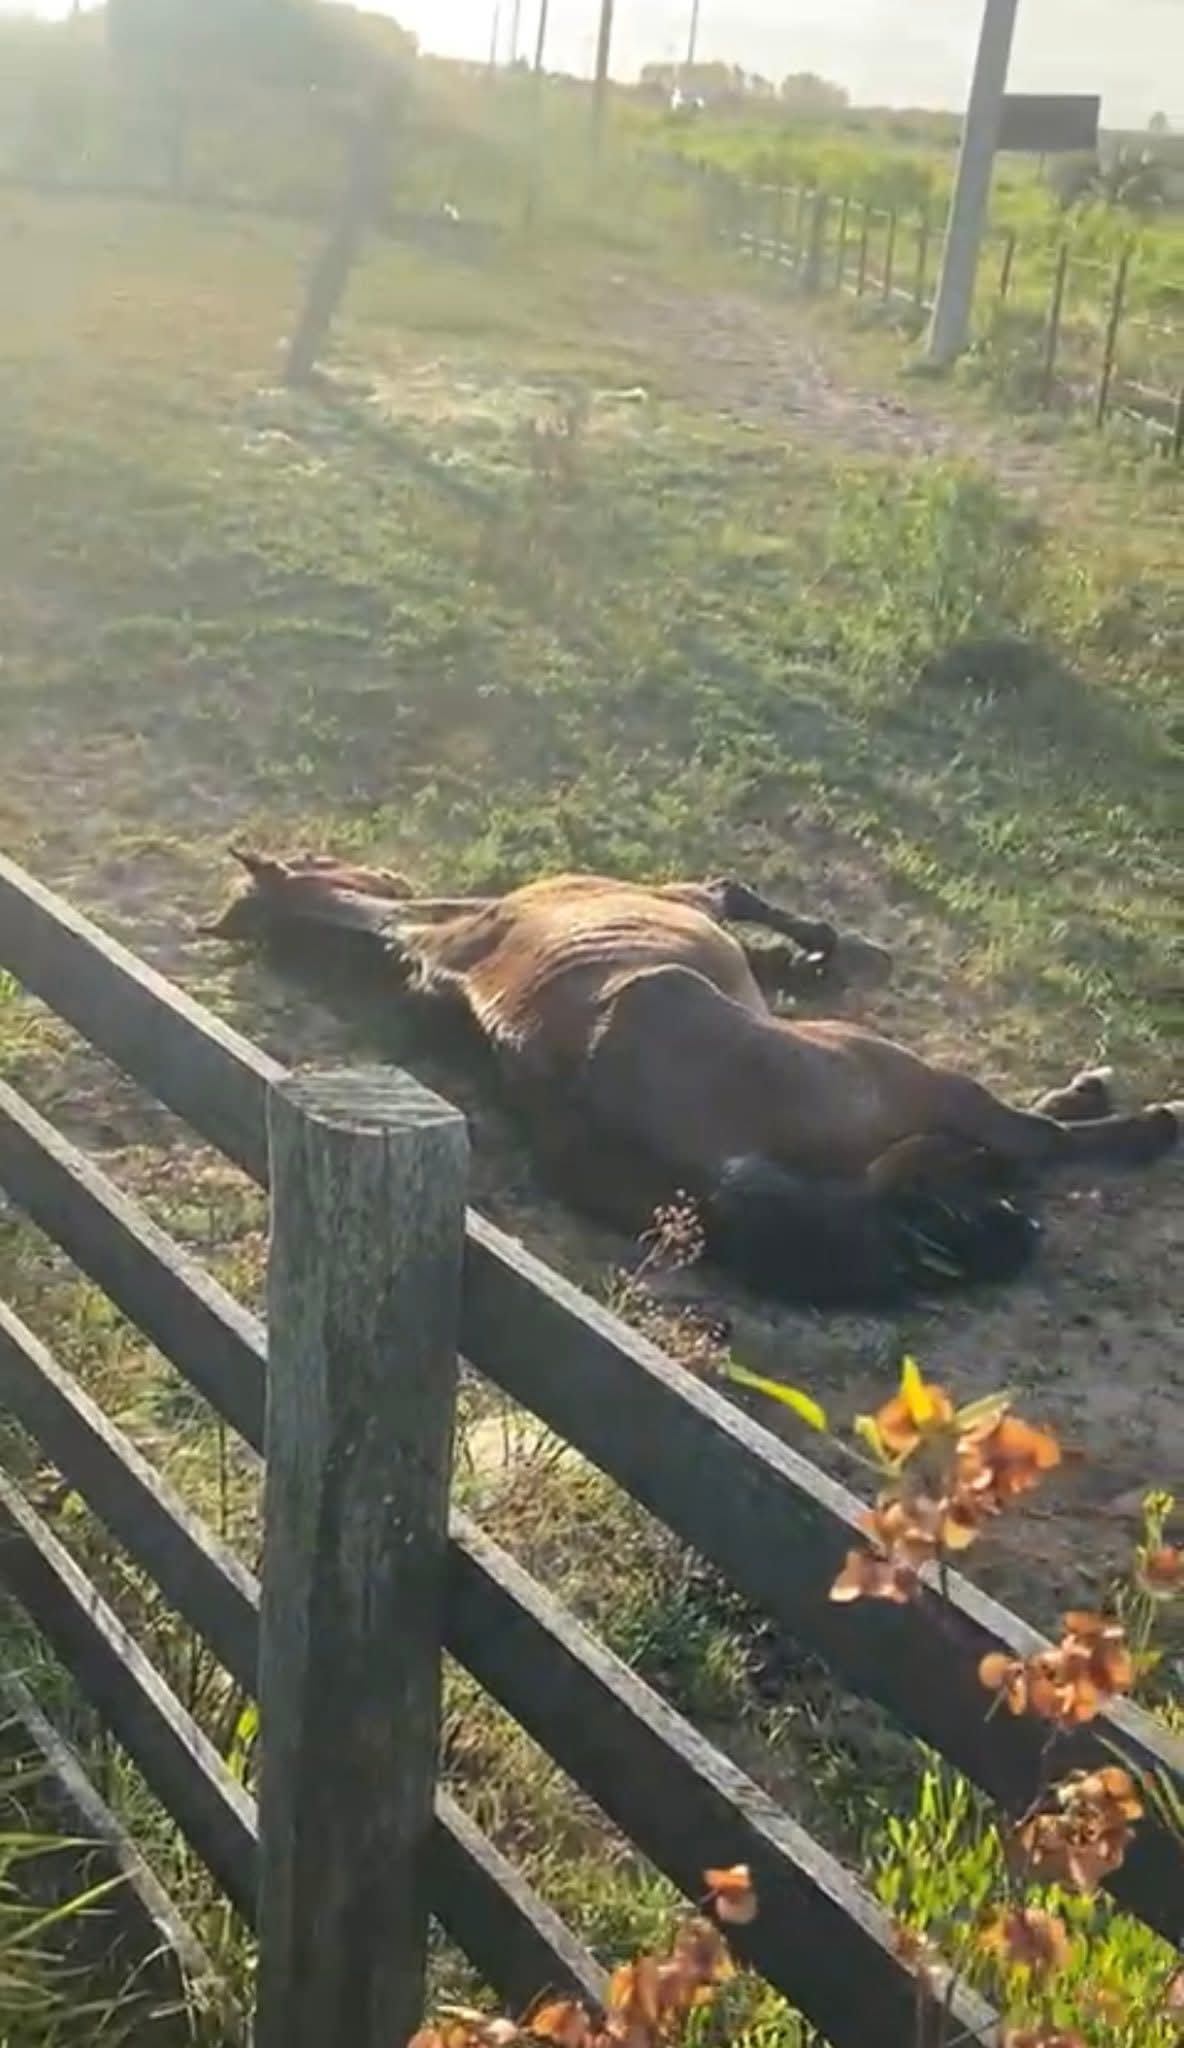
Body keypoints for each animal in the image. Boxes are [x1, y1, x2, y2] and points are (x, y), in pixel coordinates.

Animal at [200, 849, 1180, 1308]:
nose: (378, 869)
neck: (445, 935)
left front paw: (809, 957)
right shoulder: (690, 898)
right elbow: (737, 890)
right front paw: (828, 946)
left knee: (975, 1161)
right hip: (889, 1070)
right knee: (1019, 1141)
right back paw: (1140, 1117)